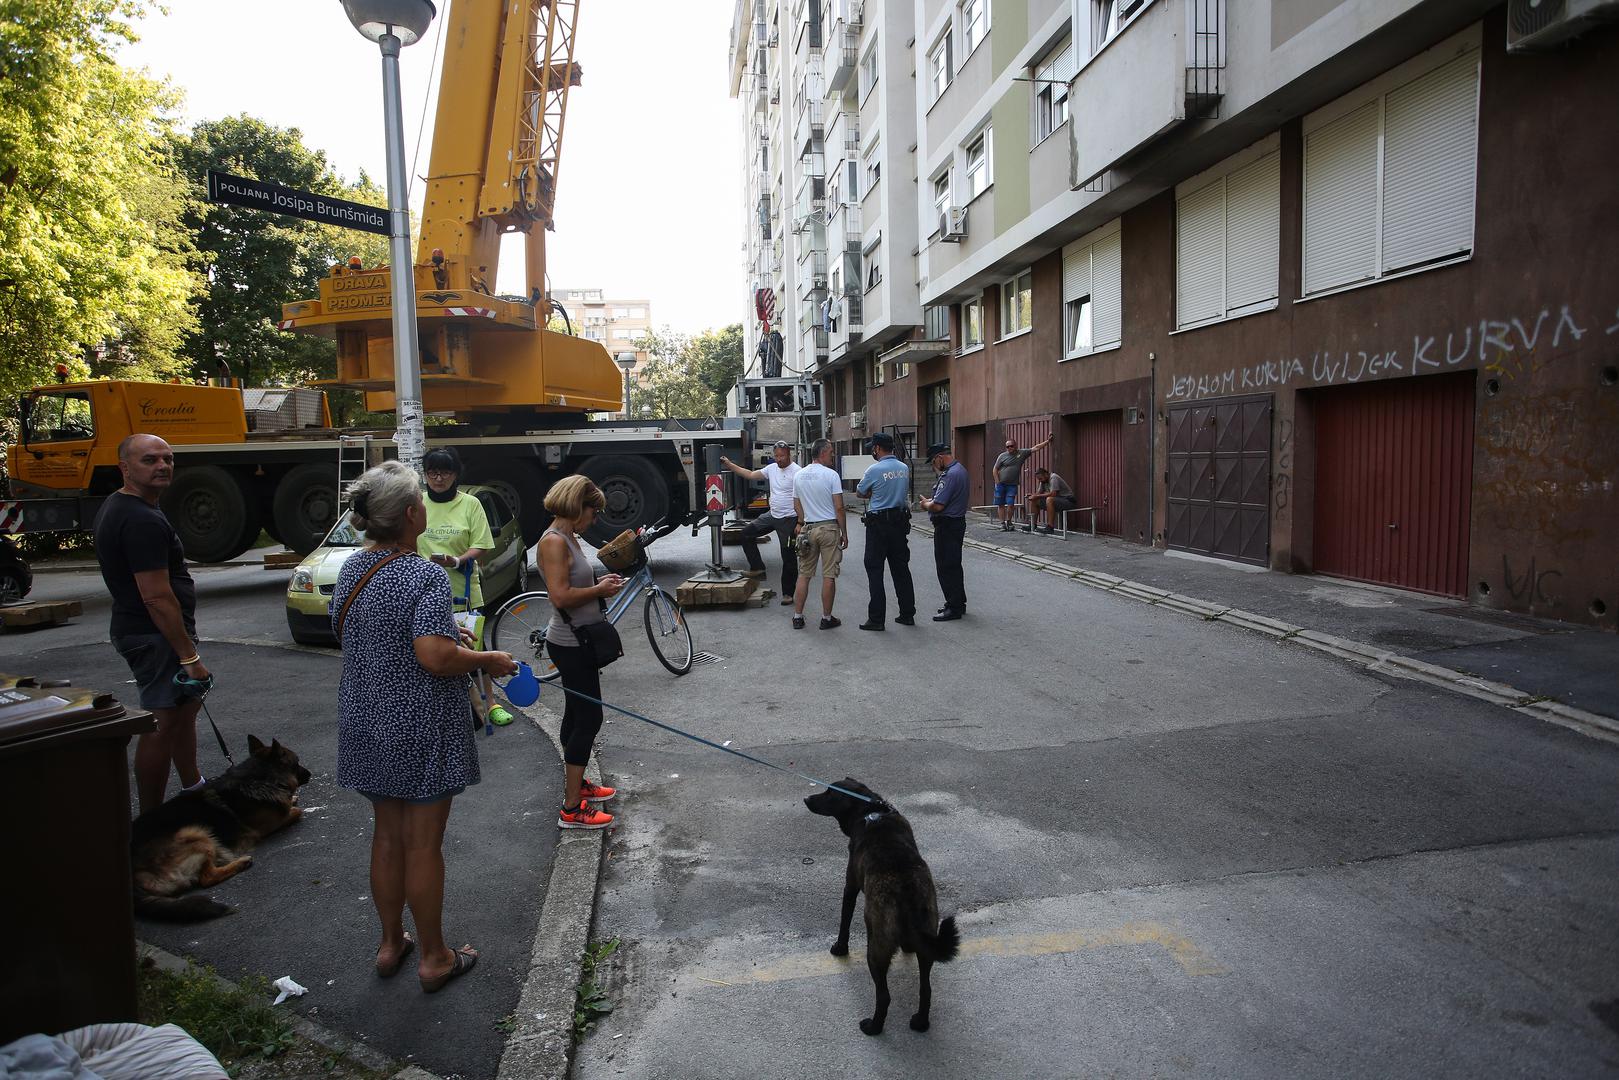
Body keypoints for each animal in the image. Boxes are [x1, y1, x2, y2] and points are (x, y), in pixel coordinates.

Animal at [131, 735, 310, 919]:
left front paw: (291, 798)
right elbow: (295, 811)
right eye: (297, 762)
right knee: (207, 878)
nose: (310, 774)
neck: (256, 777)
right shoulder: (267, 826)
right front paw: (290, 802)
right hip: (195, 833)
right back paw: (241, 862)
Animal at [803, 780, 951, 1036]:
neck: (871, 810)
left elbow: (844, 920)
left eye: (830, 793)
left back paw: (873, 1026)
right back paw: (920, 1023)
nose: (807, 799)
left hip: (876, 946)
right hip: (928, 940)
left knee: (884, 996)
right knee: (926, 989)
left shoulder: (850, 885)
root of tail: (906, 890)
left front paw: (839, 948)